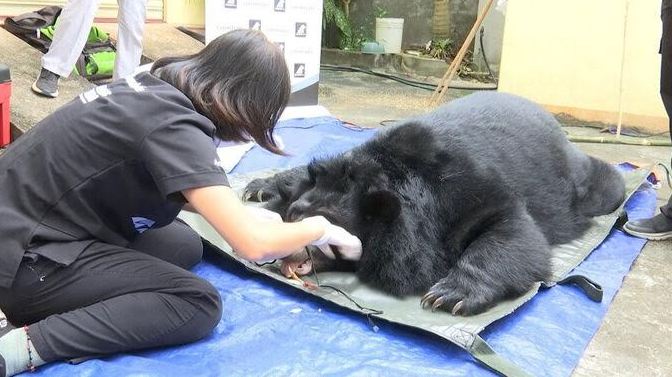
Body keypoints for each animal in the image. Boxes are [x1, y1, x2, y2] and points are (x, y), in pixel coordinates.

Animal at [243, 92, 624, 316]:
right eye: (295, 214)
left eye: (325, 223)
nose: (282, 251)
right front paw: (260, 188)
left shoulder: (467, 192)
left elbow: (513, 229)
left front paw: (447, 296)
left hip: (584, 186)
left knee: (610, 185)